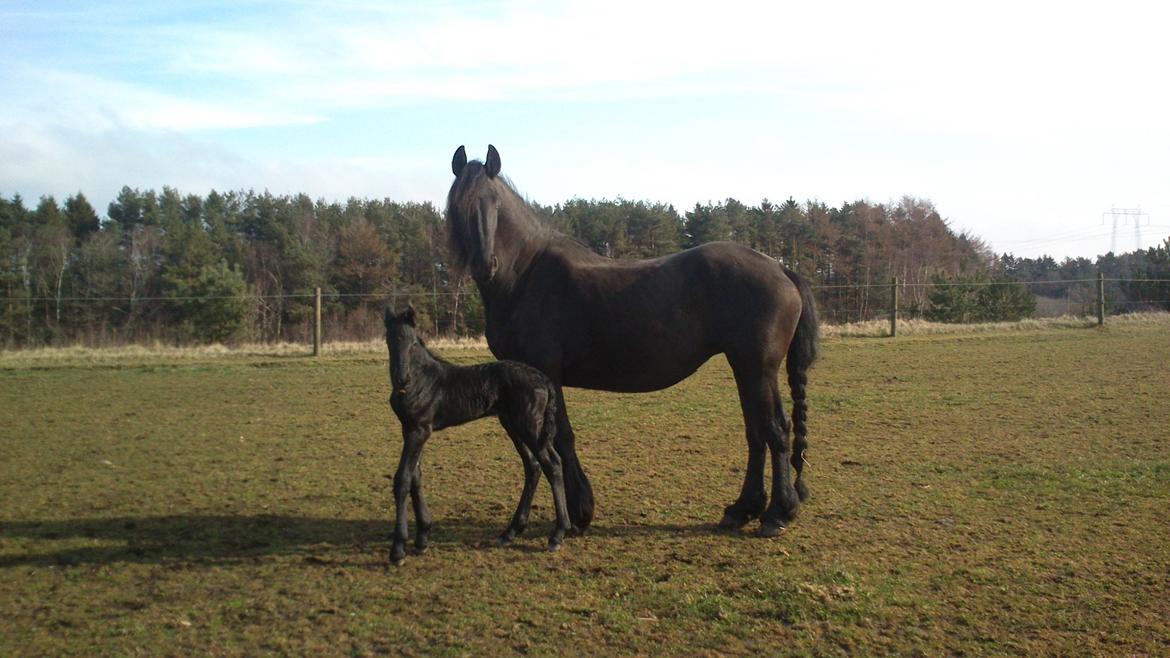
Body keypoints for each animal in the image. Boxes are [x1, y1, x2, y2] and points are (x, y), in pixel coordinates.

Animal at [383, 304, 570, 564]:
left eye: (412, 343)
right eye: (389, 341)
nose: (401, 378)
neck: (421, 381)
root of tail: (543, 379)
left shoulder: (418, 430)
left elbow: (403, 479)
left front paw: (398, 550)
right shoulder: (411, 429)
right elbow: (415, 476)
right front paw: (422, 539)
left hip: (530, 426)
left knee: (552, 464)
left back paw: (557, 534)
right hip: (513, 425)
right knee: (533, 466)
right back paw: (511, 532)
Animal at [446, 143, 823, 533]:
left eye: (494, 202)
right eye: (458, 205)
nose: (484, 265)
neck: (525, 276)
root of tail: (780, 268)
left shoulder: (547, 372)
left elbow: (562, 437)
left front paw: (580, 511)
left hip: (758, 368)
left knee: (775, 430)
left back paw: (778, 513)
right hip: (745, 368)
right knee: (756, 434)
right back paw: (743, 509)